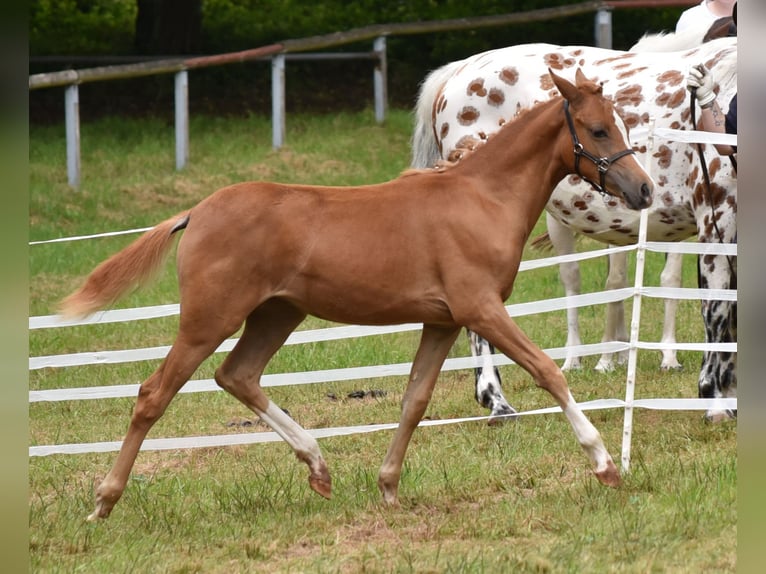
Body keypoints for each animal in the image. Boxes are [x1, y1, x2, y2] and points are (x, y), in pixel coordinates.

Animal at [63, 70, 656, 524]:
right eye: (598, 130)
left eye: (621, 125)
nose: (644, 190)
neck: (482, 197)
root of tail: (197, 211)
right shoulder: (482, 308)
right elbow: (547, 371)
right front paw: (605, 465)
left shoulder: (443, 321)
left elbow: (415, 399)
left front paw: (388, 486)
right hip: (209, 320)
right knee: (153, 394)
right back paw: (103, 503)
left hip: (277, 314)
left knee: (238, 375)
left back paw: (319, 468)